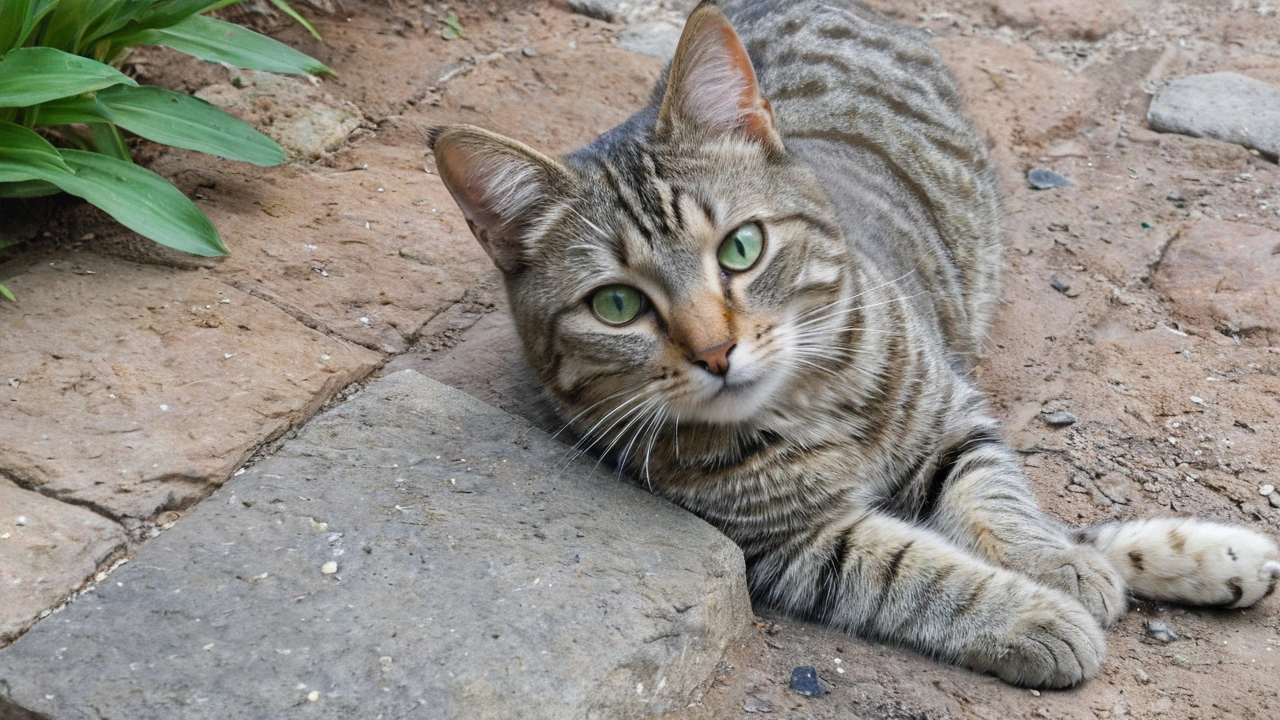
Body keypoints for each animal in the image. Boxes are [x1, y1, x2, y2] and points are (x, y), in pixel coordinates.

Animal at [427, 0, 1280, 681]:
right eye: (616, 305)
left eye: (741, 249)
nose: (715, 352)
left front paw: (1094, 562)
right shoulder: (792, 545)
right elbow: (919, 570)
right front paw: (1037, 613)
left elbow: (1004, 503)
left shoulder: (952, 420)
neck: (812, 399)